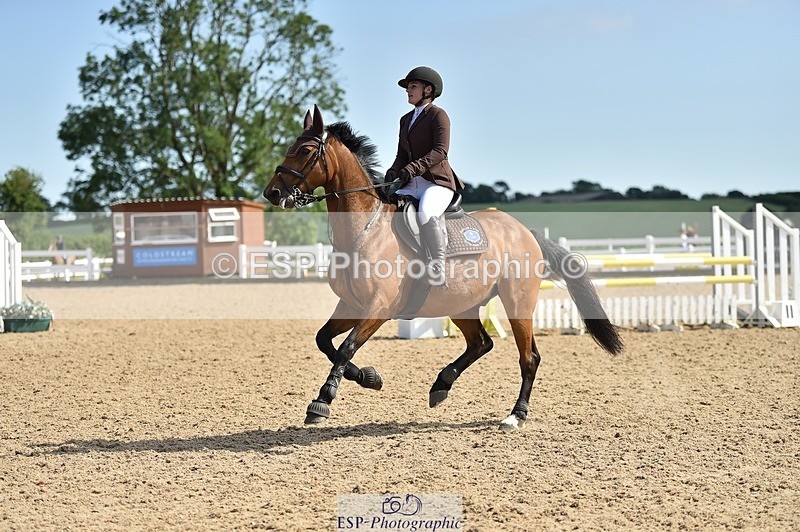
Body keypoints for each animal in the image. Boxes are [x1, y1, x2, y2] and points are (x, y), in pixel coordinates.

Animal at [263, 105, 623, 431]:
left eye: (305, 150)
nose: (272, 193)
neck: (364, 231)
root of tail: (523, 231)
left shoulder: (379, 307)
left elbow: (345, 347)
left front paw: (322, 400)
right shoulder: (351, 305)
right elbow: (325, 341)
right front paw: (369, 378)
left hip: (517, 303)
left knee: (528, 357)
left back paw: (515, 416)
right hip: (462, 305)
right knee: (481, 343)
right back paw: (441, 385)